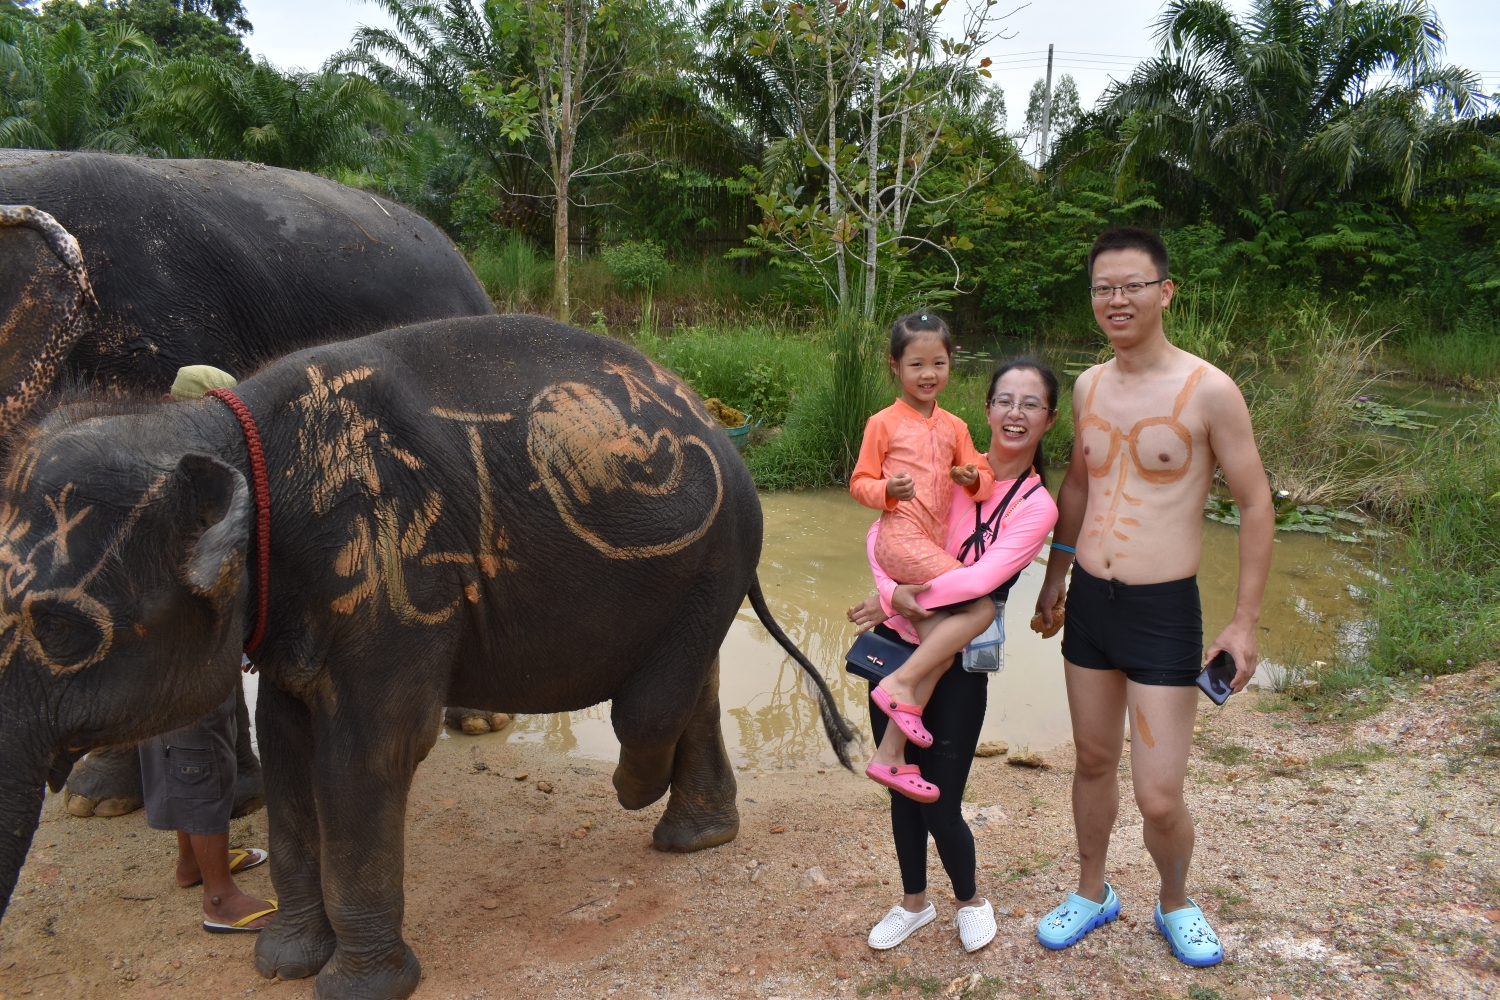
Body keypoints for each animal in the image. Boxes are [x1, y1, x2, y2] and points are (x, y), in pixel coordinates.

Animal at [0, 314, 858, 1000]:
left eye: (57, 628)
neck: (218, 431)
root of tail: (709, 421)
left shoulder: (388, 573)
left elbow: (369, 751)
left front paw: (358, 989)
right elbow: (288, 744)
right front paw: (284, 963)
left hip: (713, 545)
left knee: (652, 699)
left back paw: (638, 795)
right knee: (691, 682)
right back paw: (695, 838)